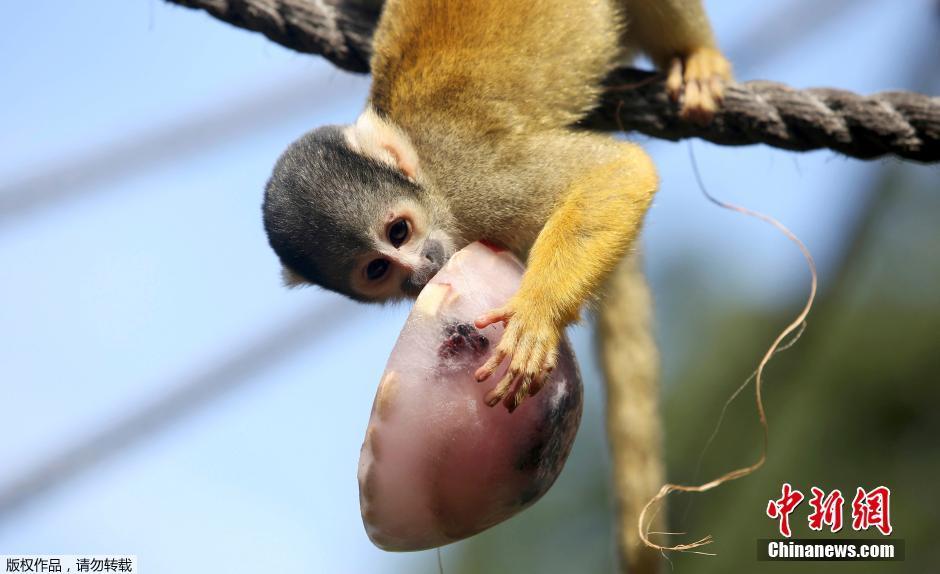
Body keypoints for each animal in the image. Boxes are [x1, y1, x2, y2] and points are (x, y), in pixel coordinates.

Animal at [260, 1, 732, 414]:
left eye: (399, 232)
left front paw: (538, 313)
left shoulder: (479, 180)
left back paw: (697, 56)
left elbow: (621, 170)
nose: (420, 272)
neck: (436, 189)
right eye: (378, 270)